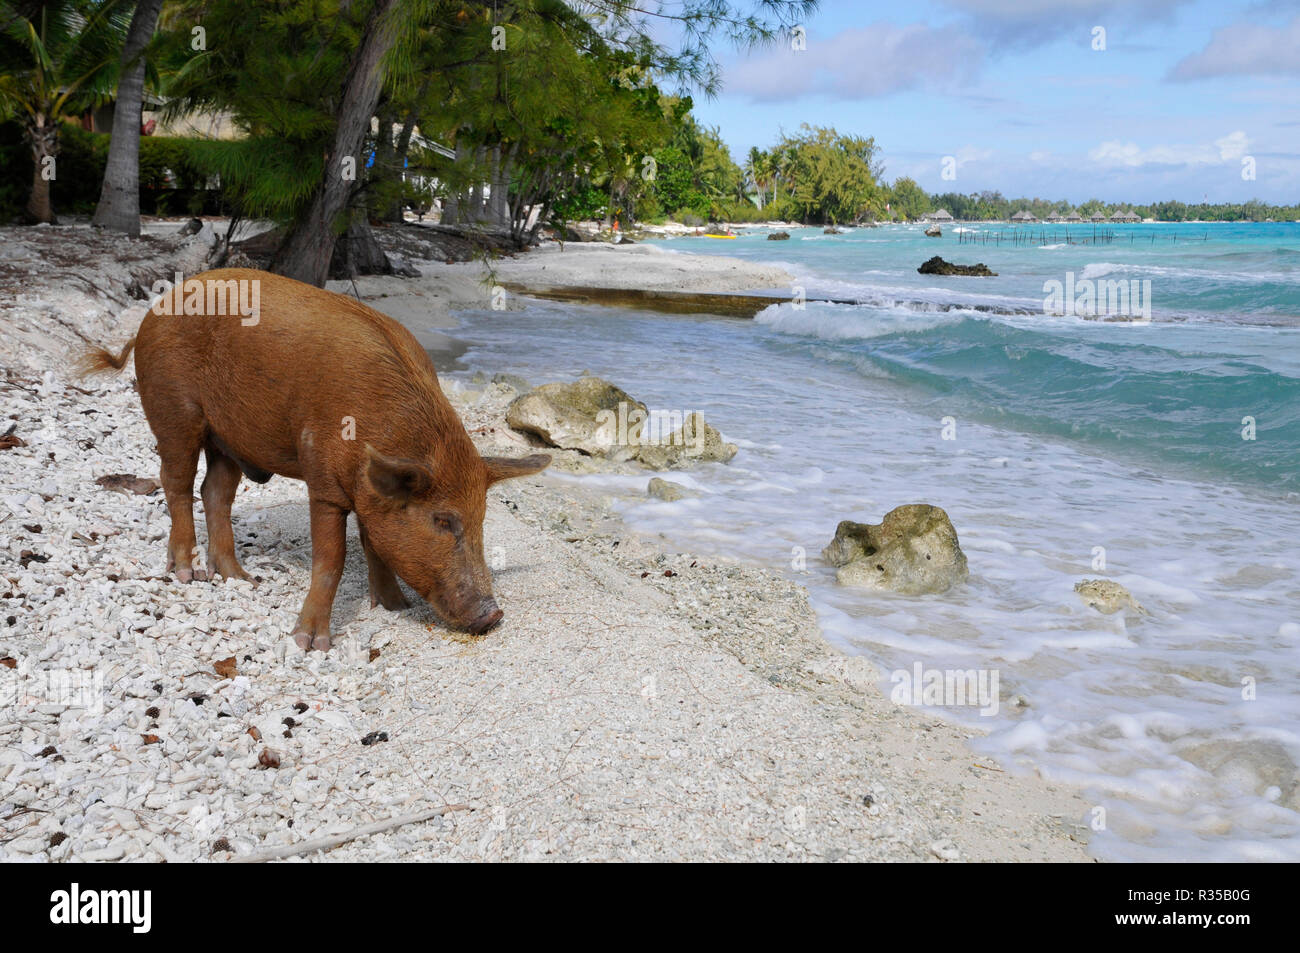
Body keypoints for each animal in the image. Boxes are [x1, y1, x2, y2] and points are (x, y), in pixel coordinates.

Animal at [81, 269, 548, 655]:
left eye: (482, 520)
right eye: (443, 520)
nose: (493, 615)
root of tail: (155, 309)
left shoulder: (370, 492)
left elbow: (374, 544)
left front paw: (394, 608)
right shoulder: (323, 483)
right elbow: (332, 560)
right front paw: (311, 645)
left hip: (227, 439)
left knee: (214, 492)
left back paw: (241, 579)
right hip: (174, 413)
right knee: (175, 483)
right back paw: (185, 573)